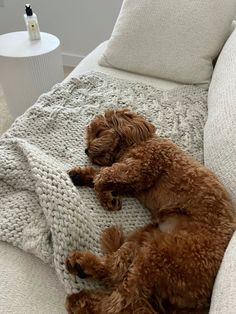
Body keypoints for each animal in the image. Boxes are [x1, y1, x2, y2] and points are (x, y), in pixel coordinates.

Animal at [65, 109, 235, 312]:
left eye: (98, 133)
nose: (86, 150)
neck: (138, 141)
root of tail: (198, 303)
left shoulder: (140, 167)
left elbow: (103, 175)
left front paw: (105, 196)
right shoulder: (133, 183)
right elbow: (101, 175)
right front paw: (81, 176)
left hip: (159, 257)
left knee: (123, 301)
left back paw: (80, 302)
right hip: (145, 238)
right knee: (115, 270)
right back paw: (81, 265)